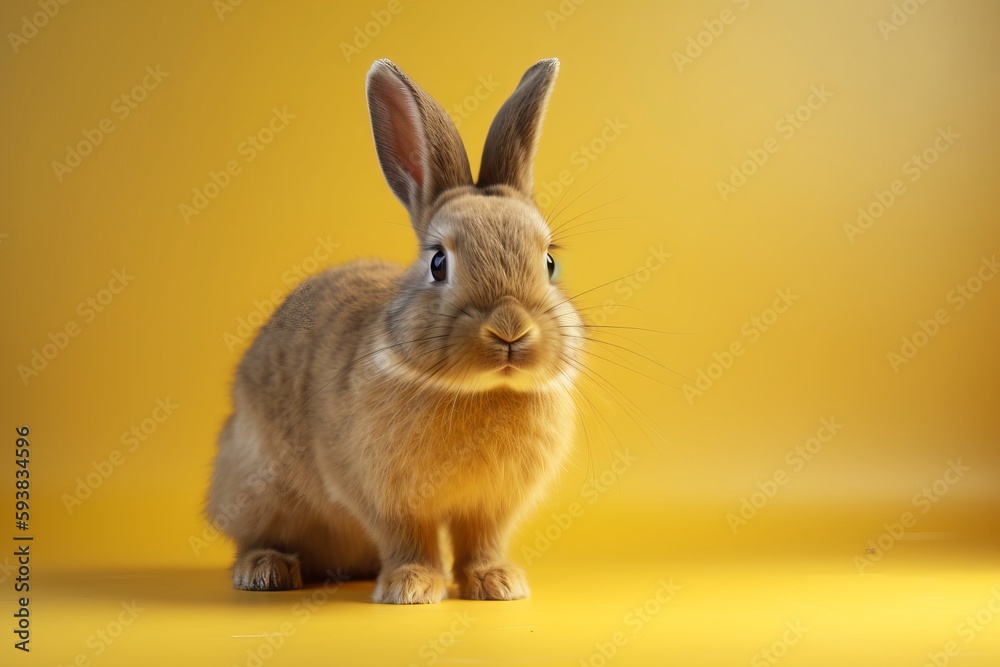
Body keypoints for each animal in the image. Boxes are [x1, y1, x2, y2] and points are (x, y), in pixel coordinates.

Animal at [207, 57, 583, 604]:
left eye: (550, 262)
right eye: (438, 263)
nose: (510, 330)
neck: (479, 391)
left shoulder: (491, 507)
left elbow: (481, 540)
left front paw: (497, 583)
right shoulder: (385, 496)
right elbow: (408, 537)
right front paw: (412, 587)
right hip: (254, 485)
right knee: (253, 535)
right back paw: (266, 571)